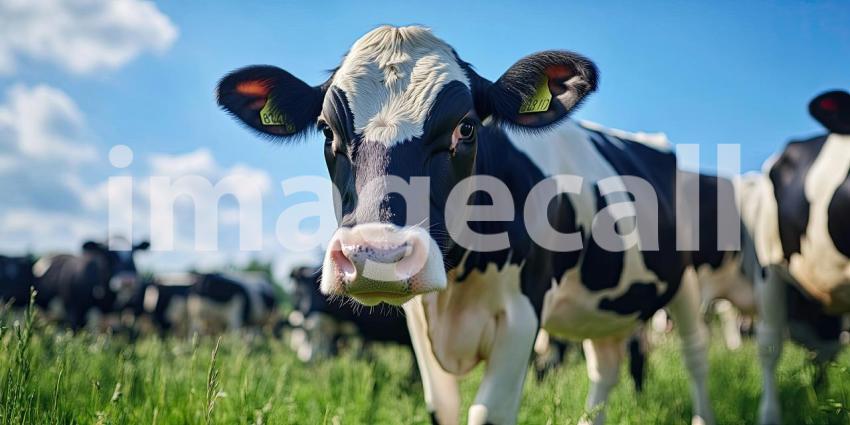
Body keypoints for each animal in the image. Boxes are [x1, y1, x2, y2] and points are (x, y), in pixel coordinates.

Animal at [217, 25, 713, 425]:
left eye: (467, 128)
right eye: (325, 130)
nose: (376, 255)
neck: (458, 284)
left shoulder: (522, 315)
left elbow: (487, 412)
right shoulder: (420, 326)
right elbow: (443, 409)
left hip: (688, 282)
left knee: (695, 355)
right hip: (602, 303)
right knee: (604, 367)